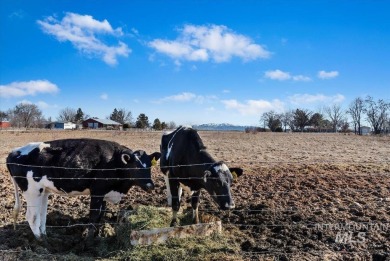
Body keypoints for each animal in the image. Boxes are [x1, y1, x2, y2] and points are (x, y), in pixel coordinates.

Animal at [6, 138, 161, 238]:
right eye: (135, 166)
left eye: (150, 165)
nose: (150, 185)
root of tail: (14, 151)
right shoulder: (97, 191)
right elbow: (93, 216)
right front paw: (89, 241)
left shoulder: (104, 193)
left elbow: (100, 215)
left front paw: (98, 236)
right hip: (32, 191)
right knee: (32, 217)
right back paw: (41, 242)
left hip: (43, 191)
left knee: (41, 215)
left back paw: (44, 237)